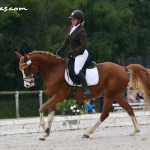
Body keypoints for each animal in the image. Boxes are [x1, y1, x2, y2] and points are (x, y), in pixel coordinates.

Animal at [15, 51, 150, 141]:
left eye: (26, 68)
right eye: (20, 69)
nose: (27, 84)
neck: (53, 70)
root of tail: (123, 68)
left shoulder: (58, 96)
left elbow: (41, 108)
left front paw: (44, 129)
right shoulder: (52, 98)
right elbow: (51, 116)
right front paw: (46, 133)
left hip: (109, 96)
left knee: (104, 114)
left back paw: (88, 133)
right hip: (118, 96)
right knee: (129, 109)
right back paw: (136, 130)